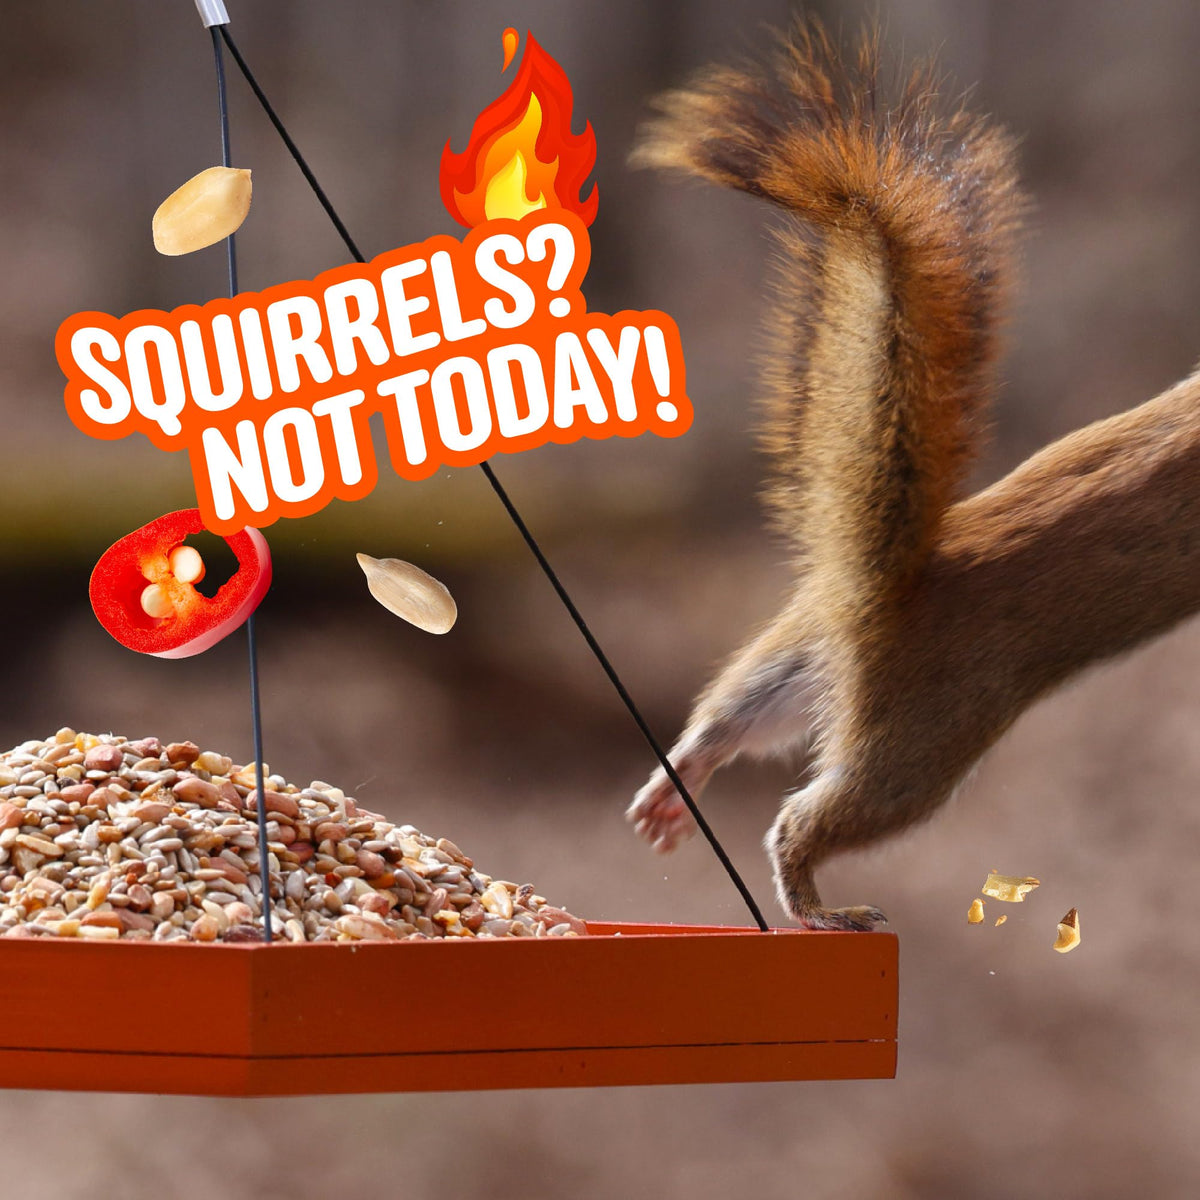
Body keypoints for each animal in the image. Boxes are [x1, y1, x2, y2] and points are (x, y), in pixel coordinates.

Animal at [626, 21, 1200, 930]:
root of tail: (878, 590)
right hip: (921, 742)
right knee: (807, 818)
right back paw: (819, 904)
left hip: (801, 652)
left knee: (734, 713)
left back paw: (677, 782)